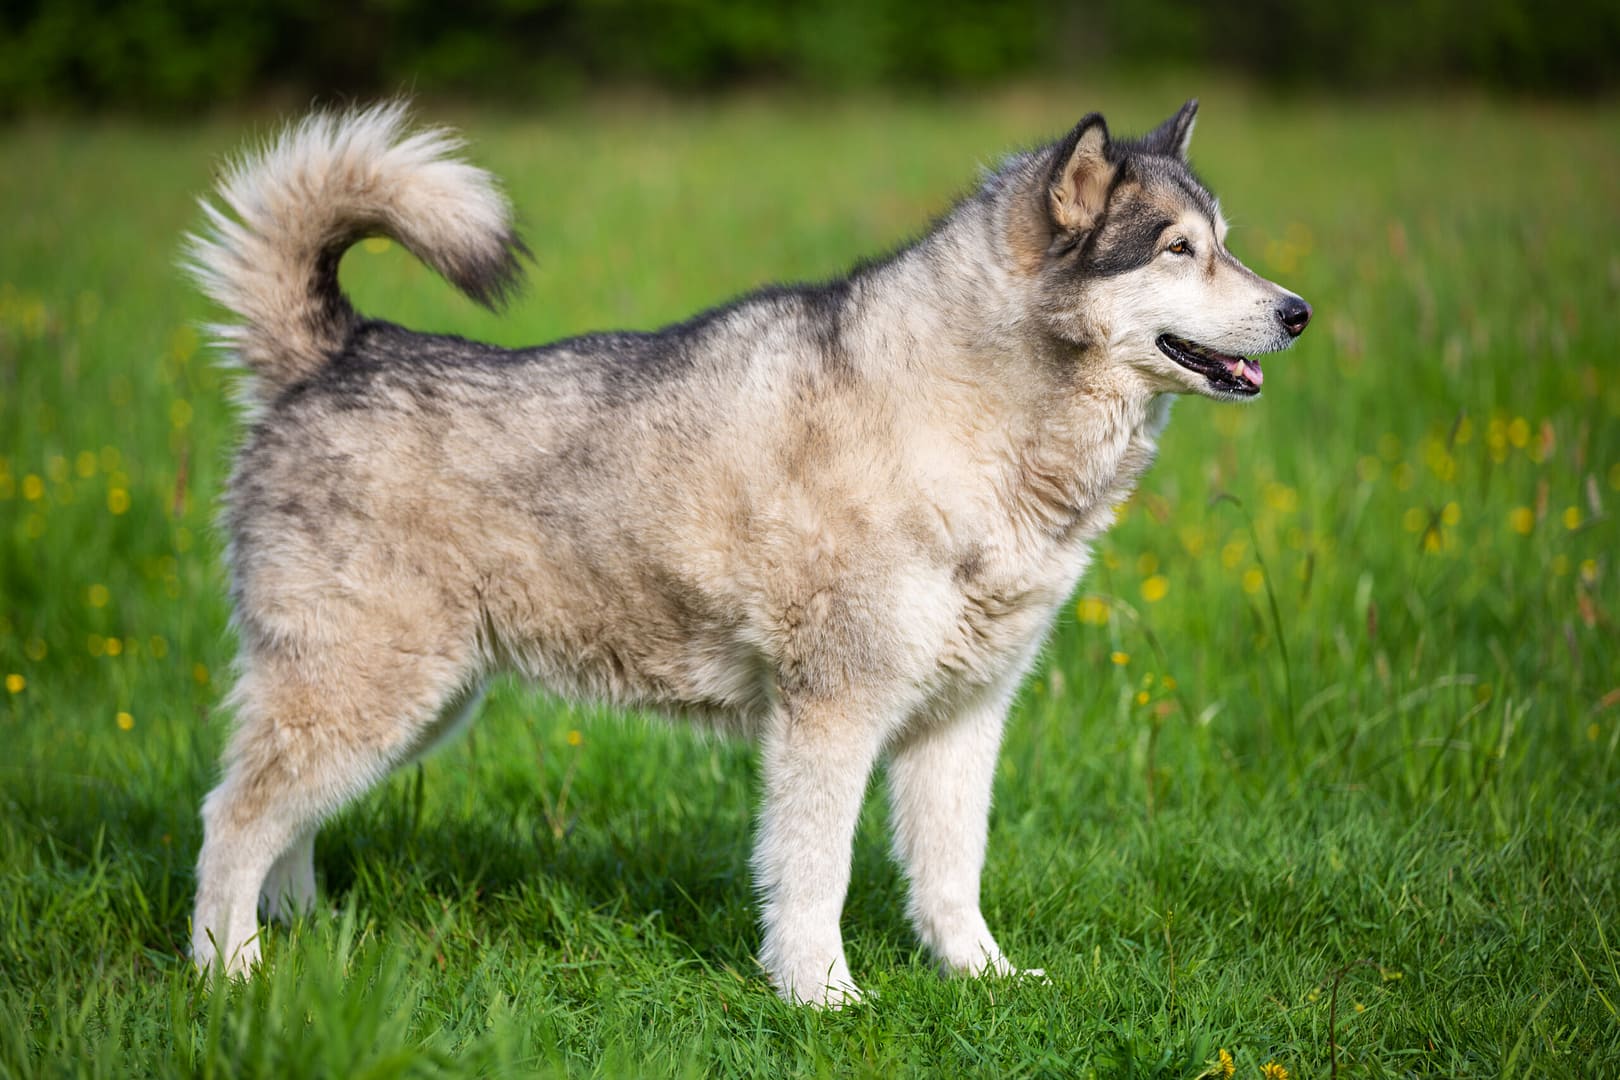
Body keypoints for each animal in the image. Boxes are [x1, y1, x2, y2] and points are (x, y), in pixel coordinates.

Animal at [183, 99, 1308, 1003]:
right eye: (1175, 249)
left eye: (1224, 242)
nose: (1297, 311)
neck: (965, 419)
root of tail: (337, 350)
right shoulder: (831, 710)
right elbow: (816, 875)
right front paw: (825, 998)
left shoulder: (963, 717)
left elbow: (953, 874)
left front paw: (984, 980)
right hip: (369, 690)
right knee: (231, 820)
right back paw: (228, 973)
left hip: (412, 704)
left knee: (285, 825)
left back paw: (301, 935)